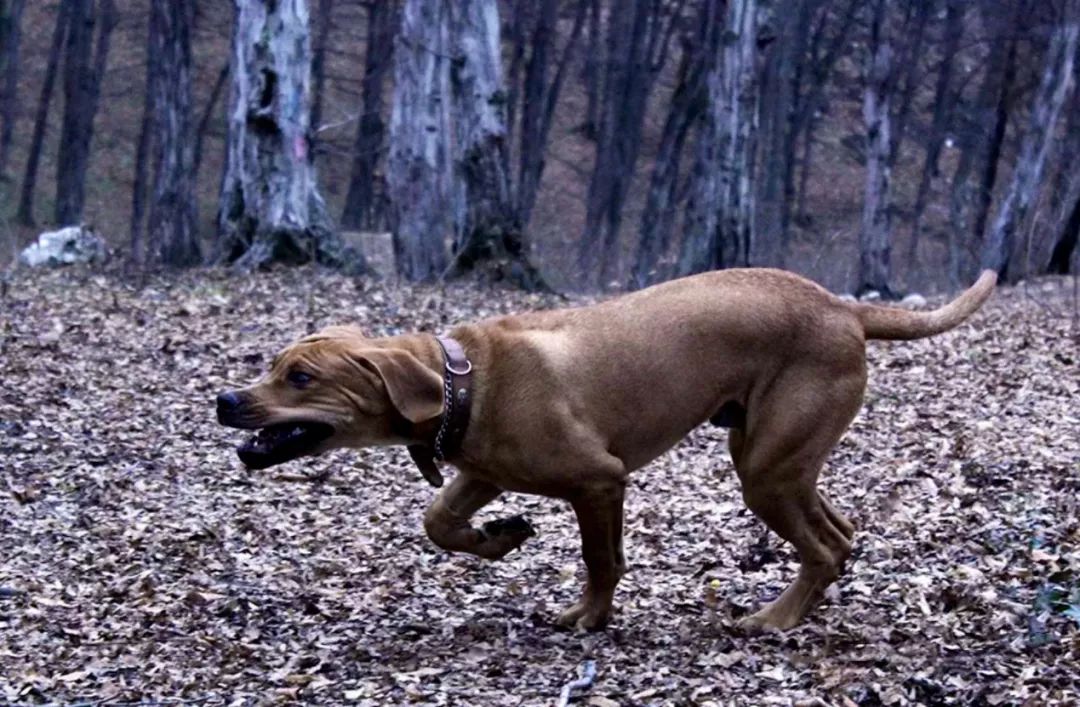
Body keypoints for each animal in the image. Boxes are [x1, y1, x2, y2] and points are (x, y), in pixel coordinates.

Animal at [214, 268, 997, 634]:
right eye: (273, 364)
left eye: (300, 377)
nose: (224, 399)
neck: (464, 380)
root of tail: (843, 305)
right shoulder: (480, 471)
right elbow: (439, 521)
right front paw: (501, 536)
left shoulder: (599, 481)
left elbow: (600, 558)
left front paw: (588, 616)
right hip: (775, 457)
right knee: (840, 534)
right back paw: (805, 603)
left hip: (766, 470)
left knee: (825, 546)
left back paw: (775, 618)